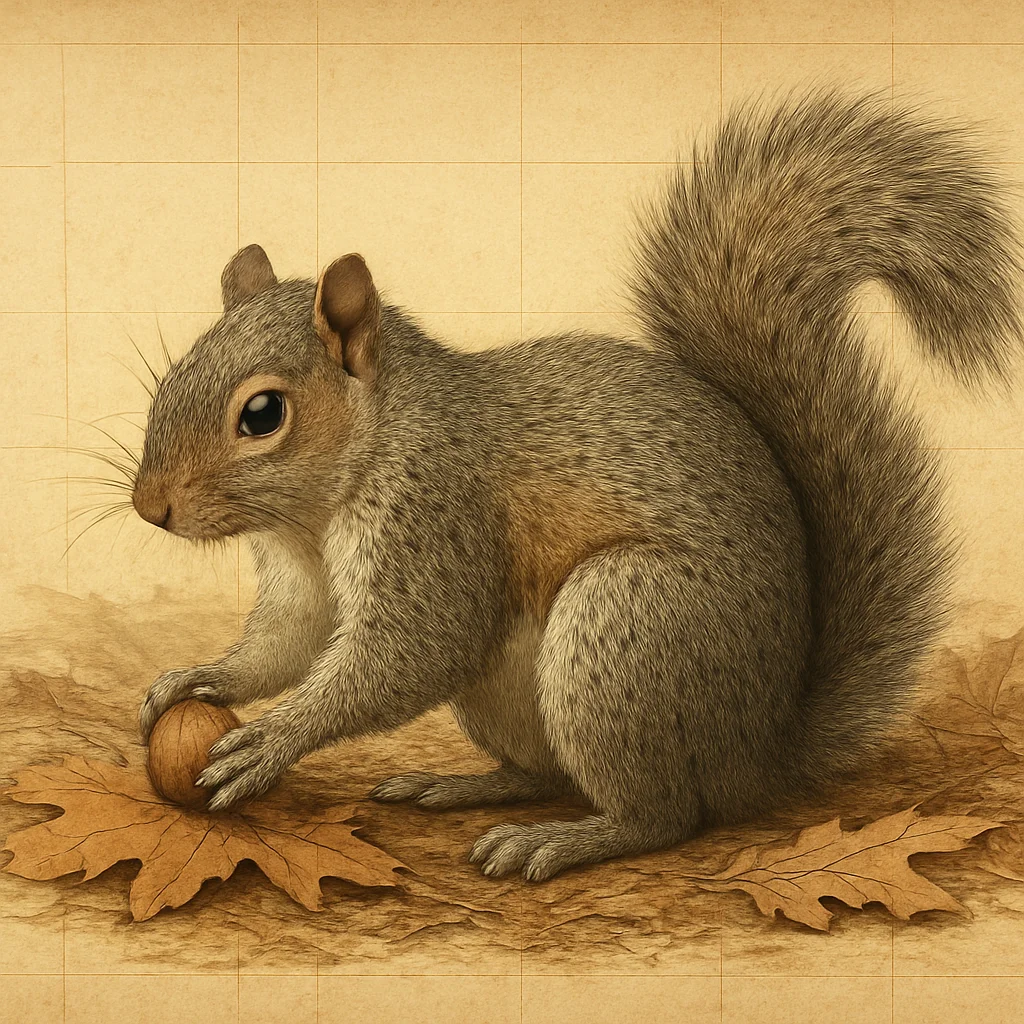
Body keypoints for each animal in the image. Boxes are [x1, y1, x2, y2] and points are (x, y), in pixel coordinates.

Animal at [132, 89, 1023, 881]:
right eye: (174, 373)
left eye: (263, 414)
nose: (150, 508)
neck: (320, 508)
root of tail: (758, 752)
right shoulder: (303, 570)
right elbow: (291, 638)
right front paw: (203, 678)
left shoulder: (438, 514)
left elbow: (410, 650)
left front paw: (272, 739)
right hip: (525, 686)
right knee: (548, 773)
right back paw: (461, 786)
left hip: (625, 626)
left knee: (663, 816)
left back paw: (562, 841)